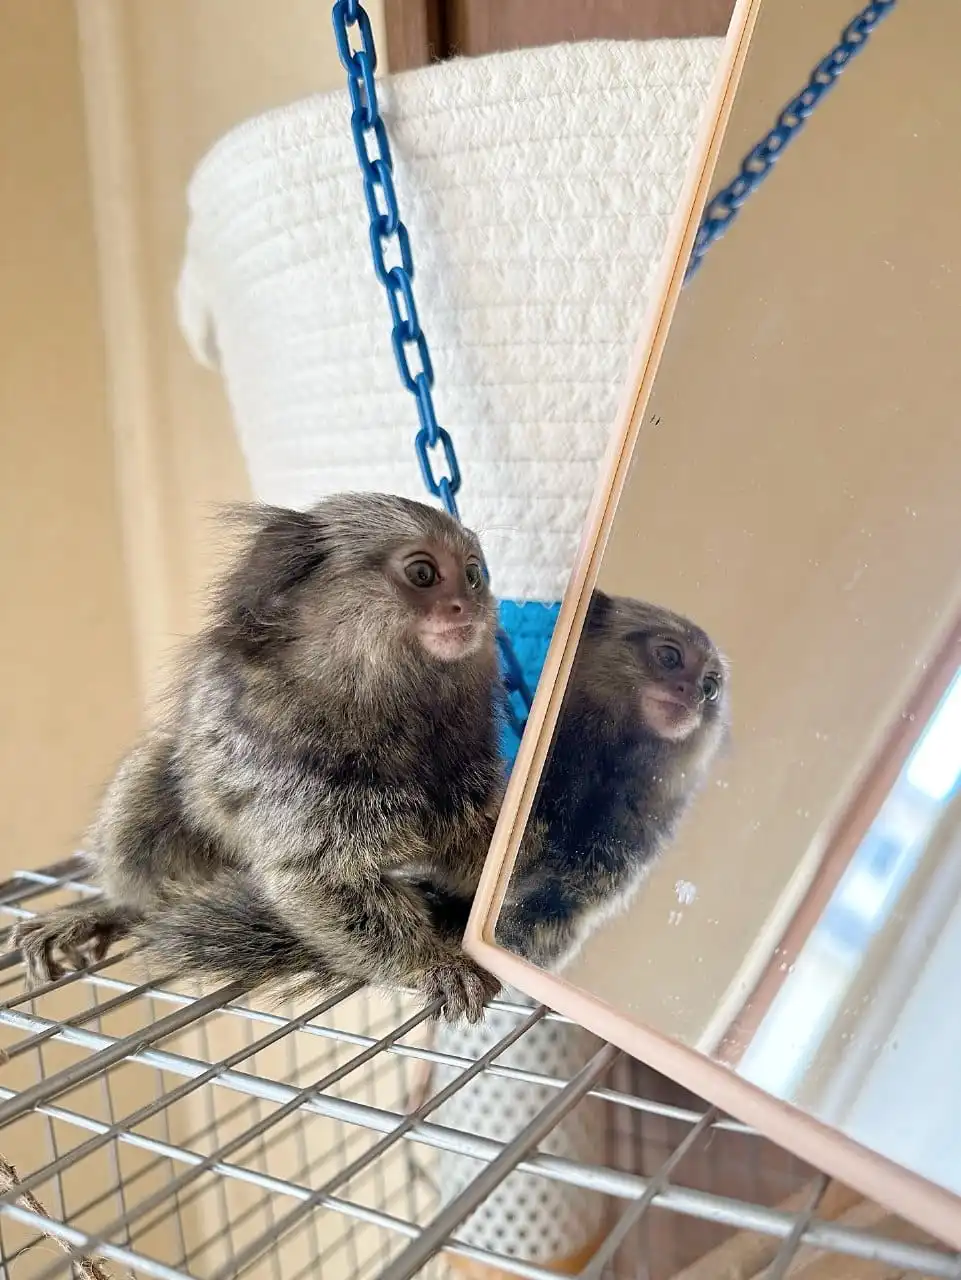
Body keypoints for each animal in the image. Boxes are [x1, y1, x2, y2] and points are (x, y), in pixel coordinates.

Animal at [11, 493, 505, 1023]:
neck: (393, 712)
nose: (468, 605)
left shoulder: (466, 767)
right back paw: (113, 910)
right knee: (150, 783)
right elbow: (318, 878)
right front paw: (430, 962)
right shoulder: (293, 779)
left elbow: (479, 846)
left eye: (473, 575)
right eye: (423, 573)